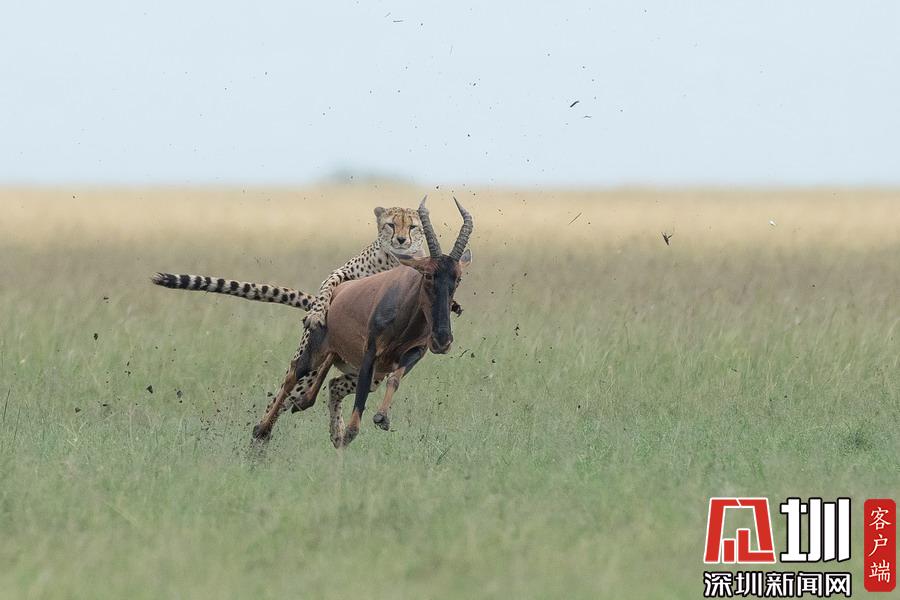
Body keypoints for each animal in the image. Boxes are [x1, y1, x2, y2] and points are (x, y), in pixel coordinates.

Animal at [252, 197, 473, 448]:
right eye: (427, 274)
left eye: (458, 278)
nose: (442, 341)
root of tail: (338, 292)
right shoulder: (370, 353)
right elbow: (360, 399)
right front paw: (350, 431)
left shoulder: (413, 353)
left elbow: (394, 379)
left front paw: (381, 418)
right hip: (315, 352)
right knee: (292, 374)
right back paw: (262, 428)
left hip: (342, 354)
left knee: (328, 381)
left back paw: (307, 408)